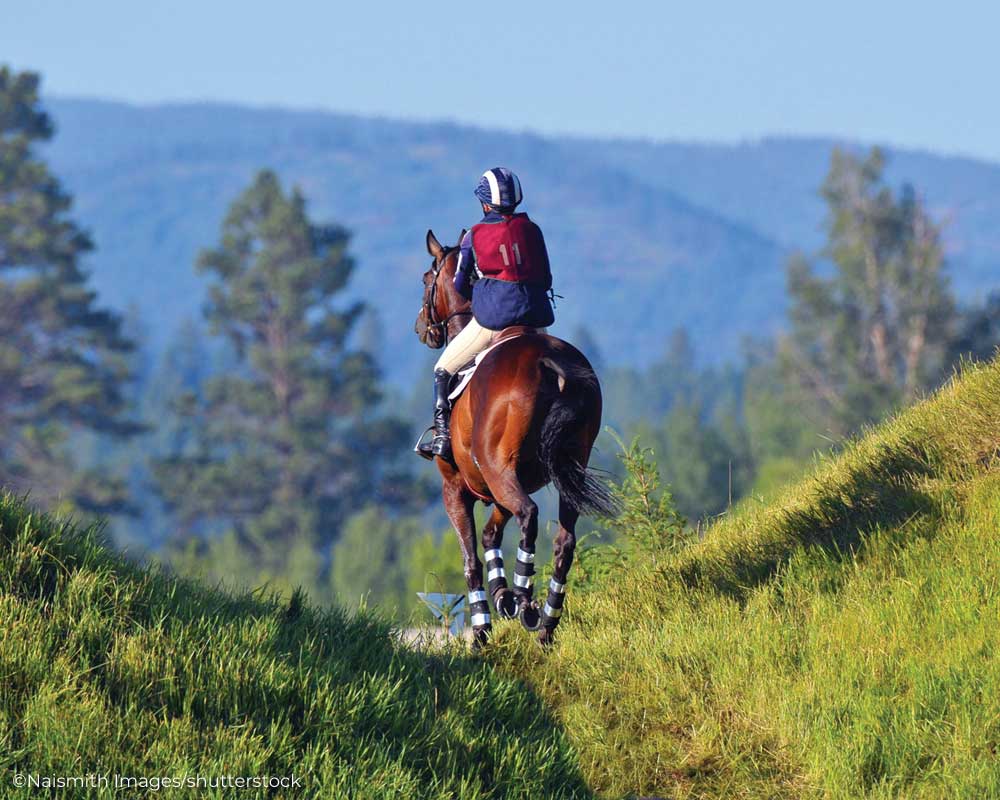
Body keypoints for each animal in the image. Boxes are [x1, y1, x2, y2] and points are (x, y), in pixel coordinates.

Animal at [414, 228, 616, 648]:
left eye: (427, 279)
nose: (422, 328)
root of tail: (547, 361)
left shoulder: (456, 487)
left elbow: (472, 558)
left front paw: (482, 628)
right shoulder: (494, 489)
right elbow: (492, 536)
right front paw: (501, 594)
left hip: (499, 469)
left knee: (529, 515)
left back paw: (526, 601)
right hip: (563, 469)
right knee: (563, 540)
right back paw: (545, 623)